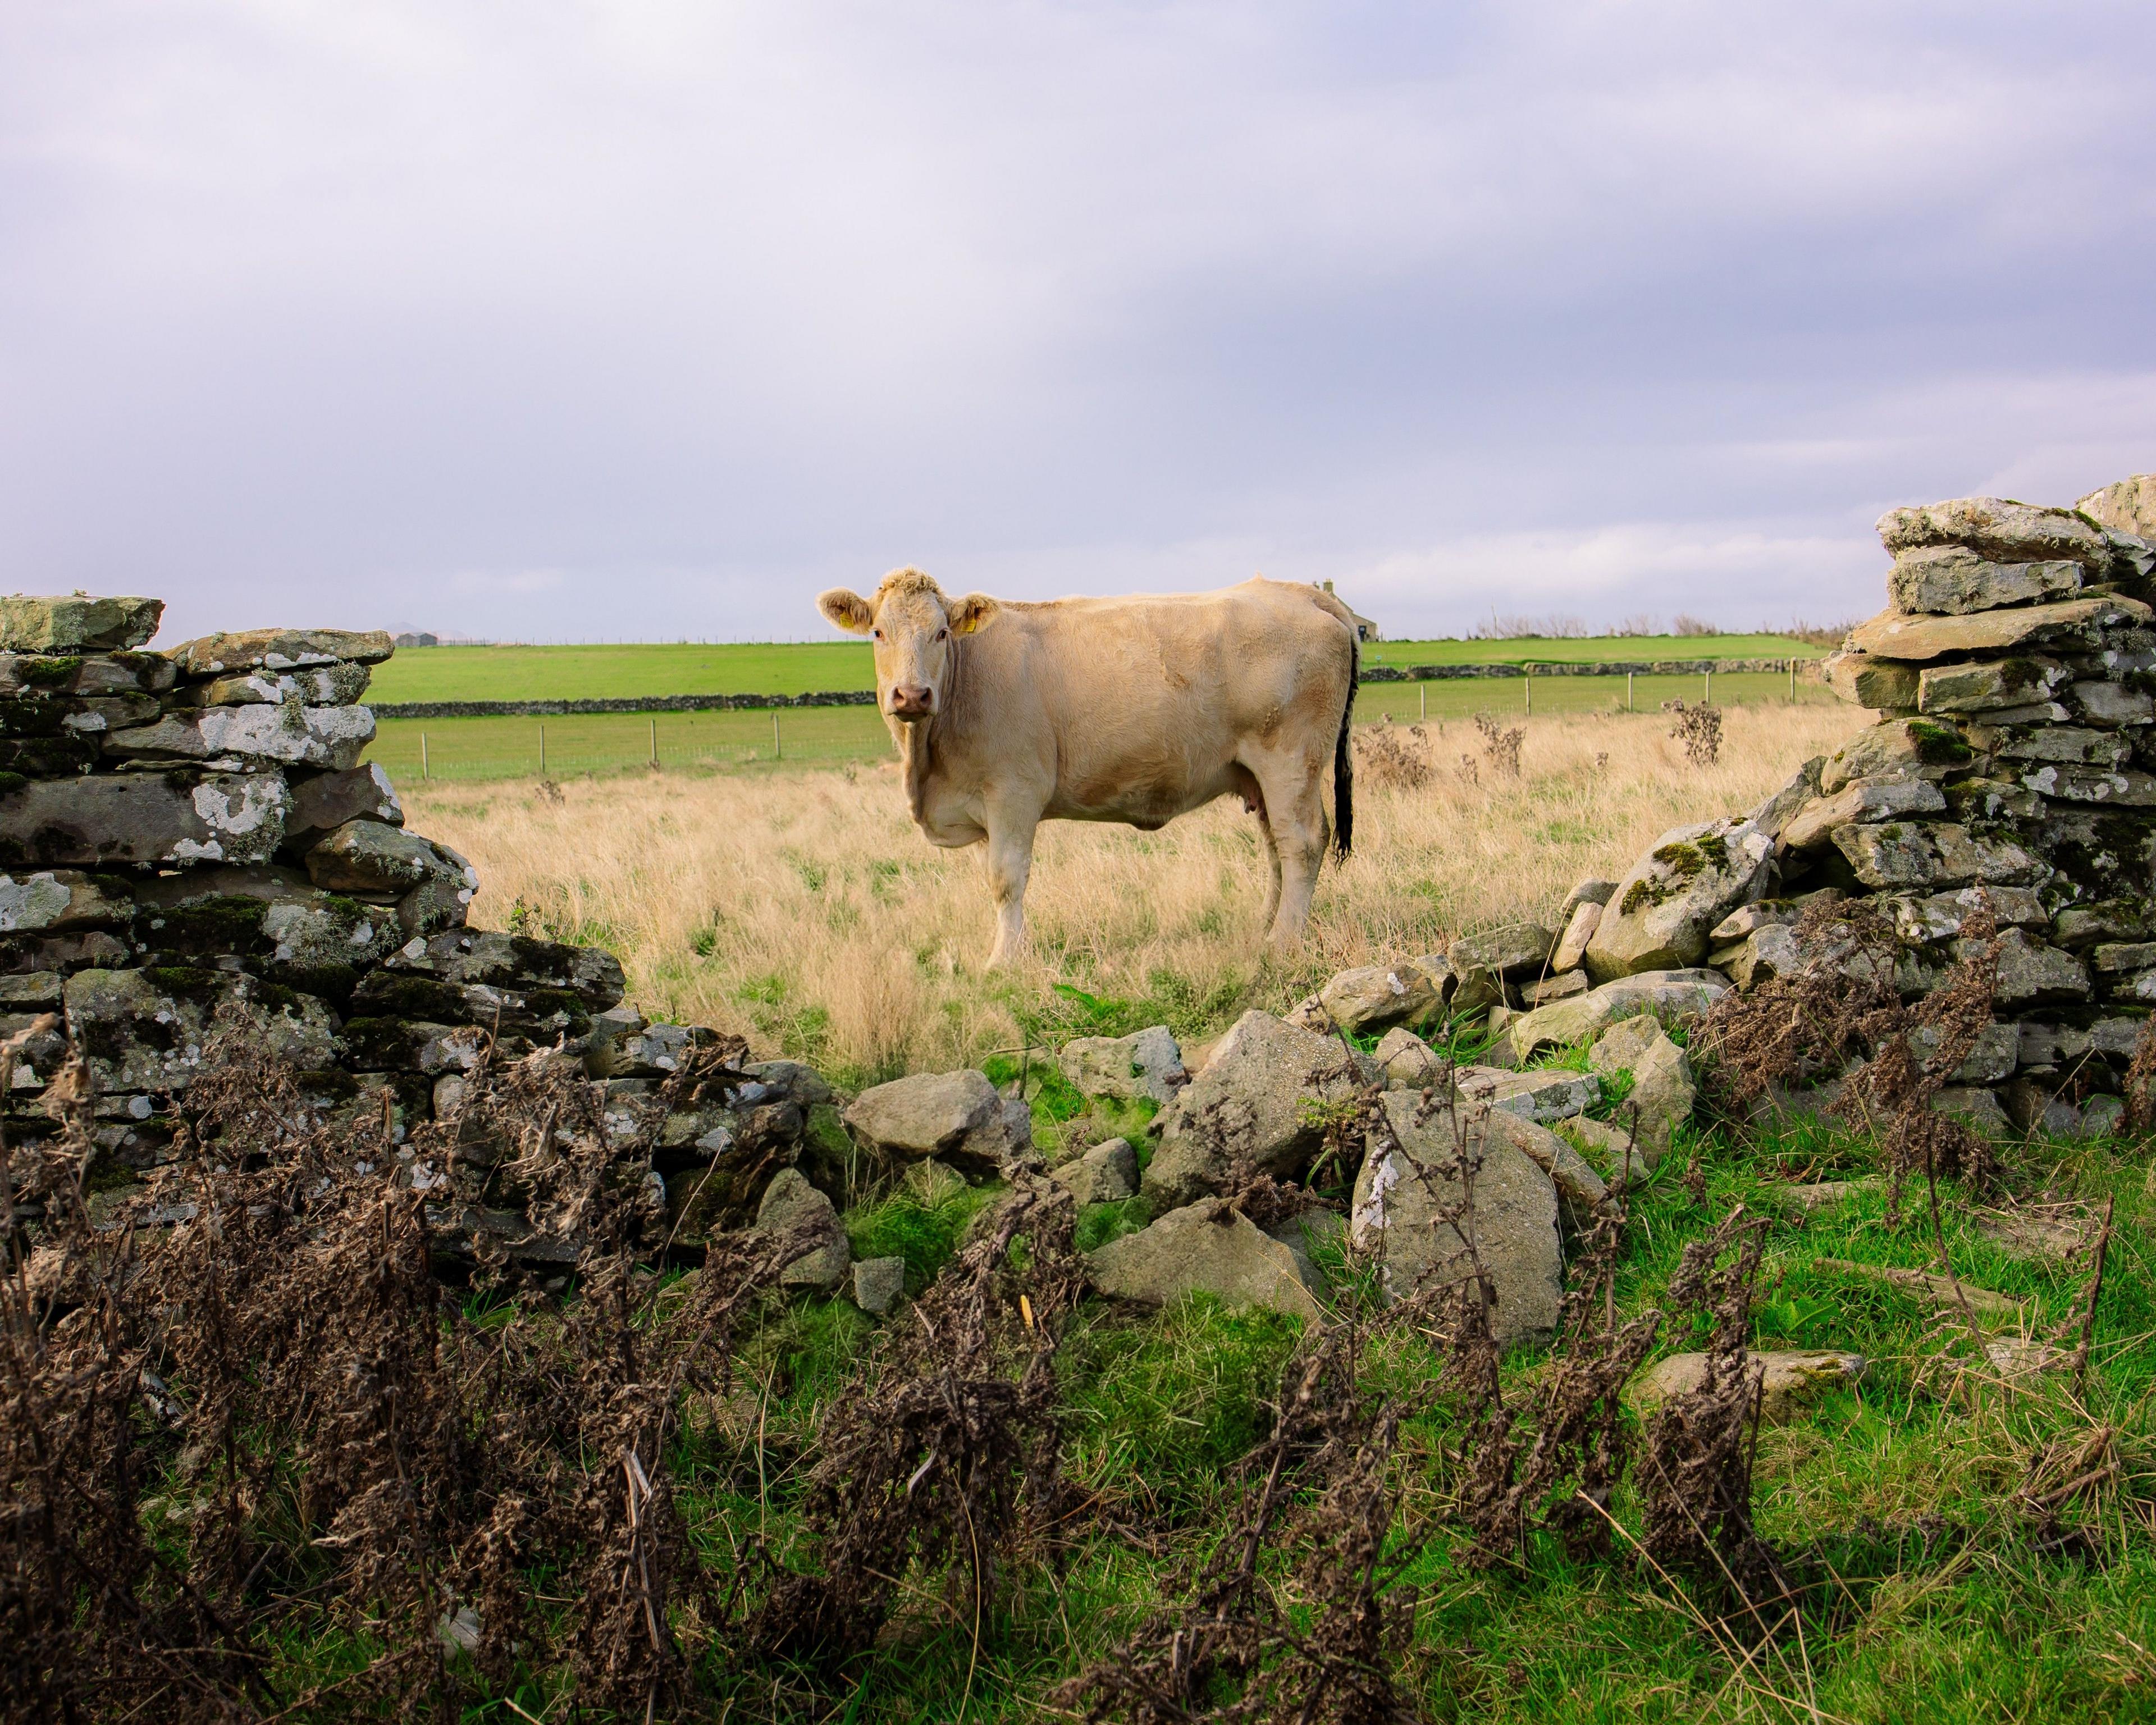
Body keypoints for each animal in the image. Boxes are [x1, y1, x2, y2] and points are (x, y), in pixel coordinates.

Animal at [815, 569, 1354, 961]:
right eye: (878, 632)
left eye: (942, 633)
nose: (911, 695)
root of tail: (1300, 592)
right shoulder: (977, 802)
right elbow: (994, 882)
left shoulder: (1014, 792)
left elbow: (1007, 879)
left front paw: (1004, 962)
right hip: (1259, 776)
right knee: (1275, 848)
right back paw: (1263, 927)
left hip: (1291, 760)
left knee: (1302, 844)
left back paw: (1283, 943)